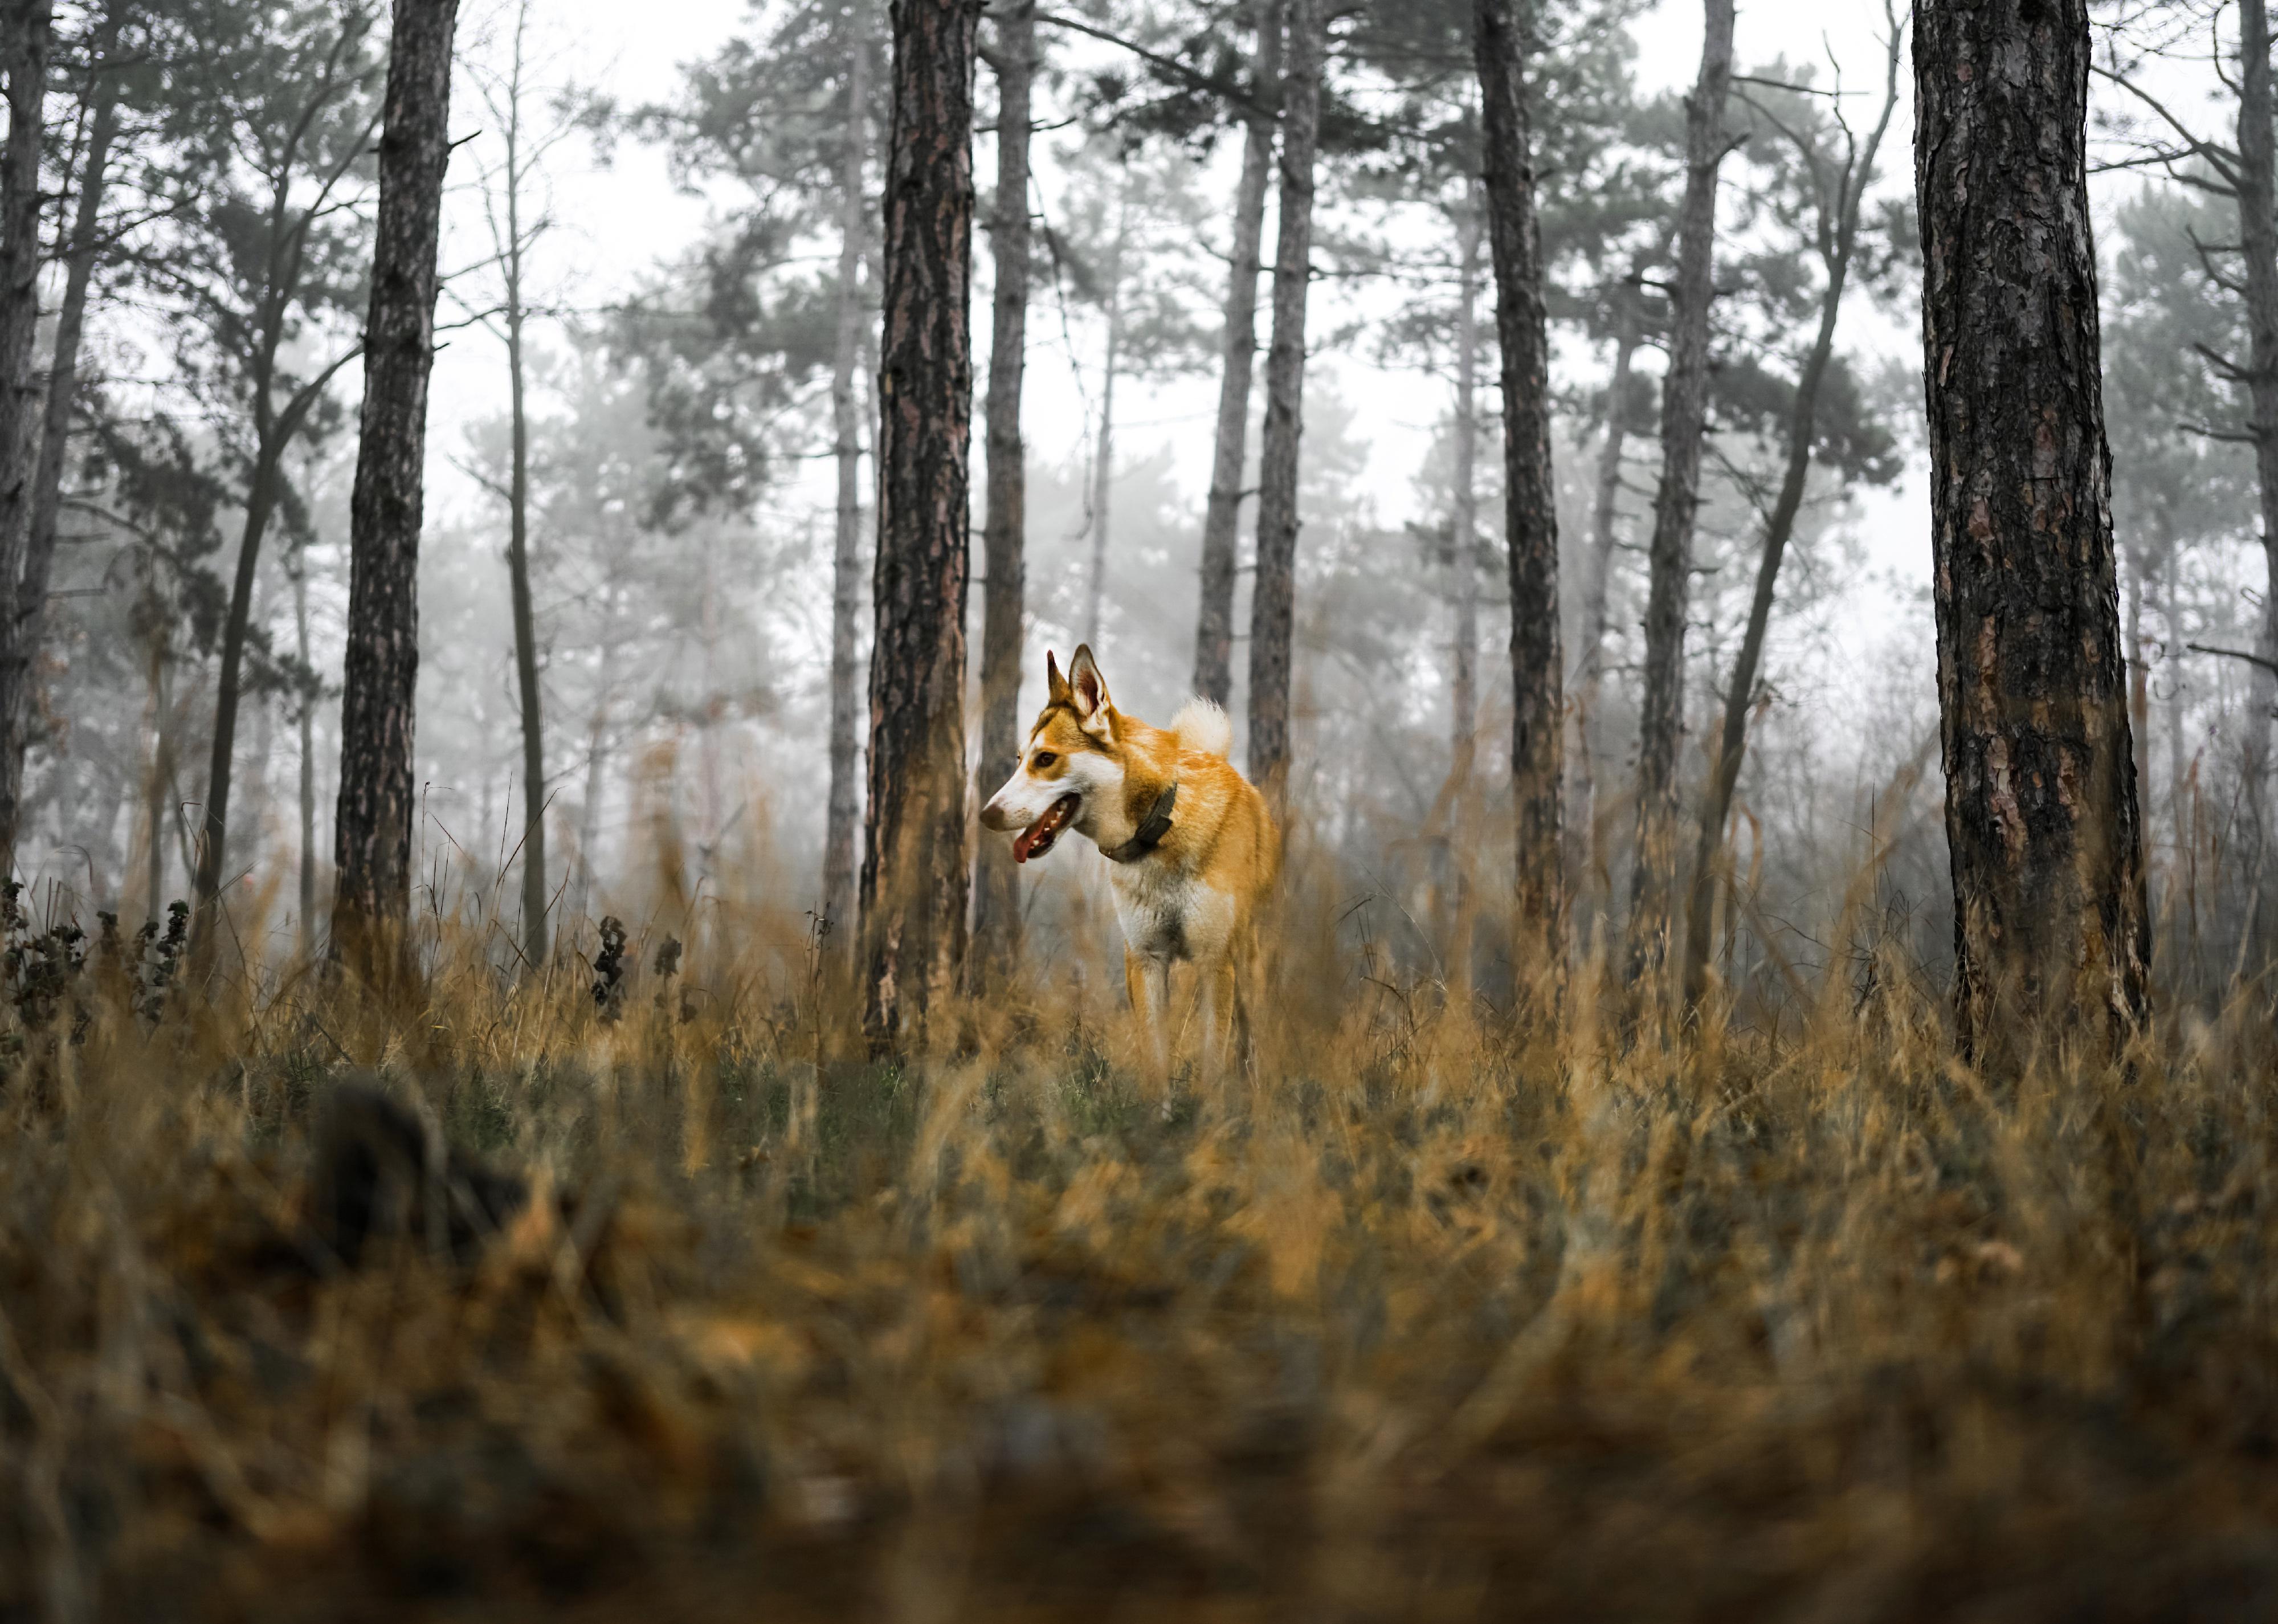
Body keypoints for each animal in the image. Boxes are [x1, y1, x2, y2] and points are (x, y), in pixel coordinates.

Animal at [979, 647, 1284, 1075]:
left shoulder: (1215, 963)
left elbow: (1212, 1066)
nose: (986, 815)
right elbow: (1155, 1063)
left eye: (1046, 759)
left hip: (1248, 966)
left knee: (1250, 1041)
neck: (1160, 830)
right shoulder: (1146, 961)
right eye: (1020, 759)